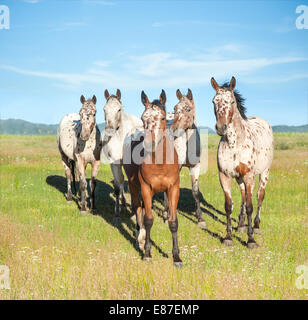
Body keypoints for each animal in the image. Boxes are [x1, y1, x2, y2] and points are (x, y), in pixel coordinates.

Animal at [102, 89, 143, 221]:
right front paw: (117, 212)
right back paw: (123, 202)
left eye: (119, 109)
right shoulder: (114, 164)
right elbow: (117, 185)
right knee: (120, 181)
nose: (109, 130)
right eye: (104, 109)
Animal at [123, 90, 183, 268]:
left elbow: (173, 221)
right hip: (134, 186)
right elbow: (148, 219)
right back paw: (140, 238)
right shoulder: (146, 188)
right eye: (143, 118)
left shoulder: (173, 189)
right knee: (137, 209)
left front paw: (177, 257)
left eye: (162, 118)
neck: (160, 163)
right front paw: (148, 253)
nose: (149, 143)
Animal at [164, 88, 207, 230]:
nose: (173, 130)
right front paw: (169, 216)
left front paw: (200, 219)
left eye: (188, 109)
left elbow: (195, 191)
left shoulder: (195, 166)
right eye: (175, 108)